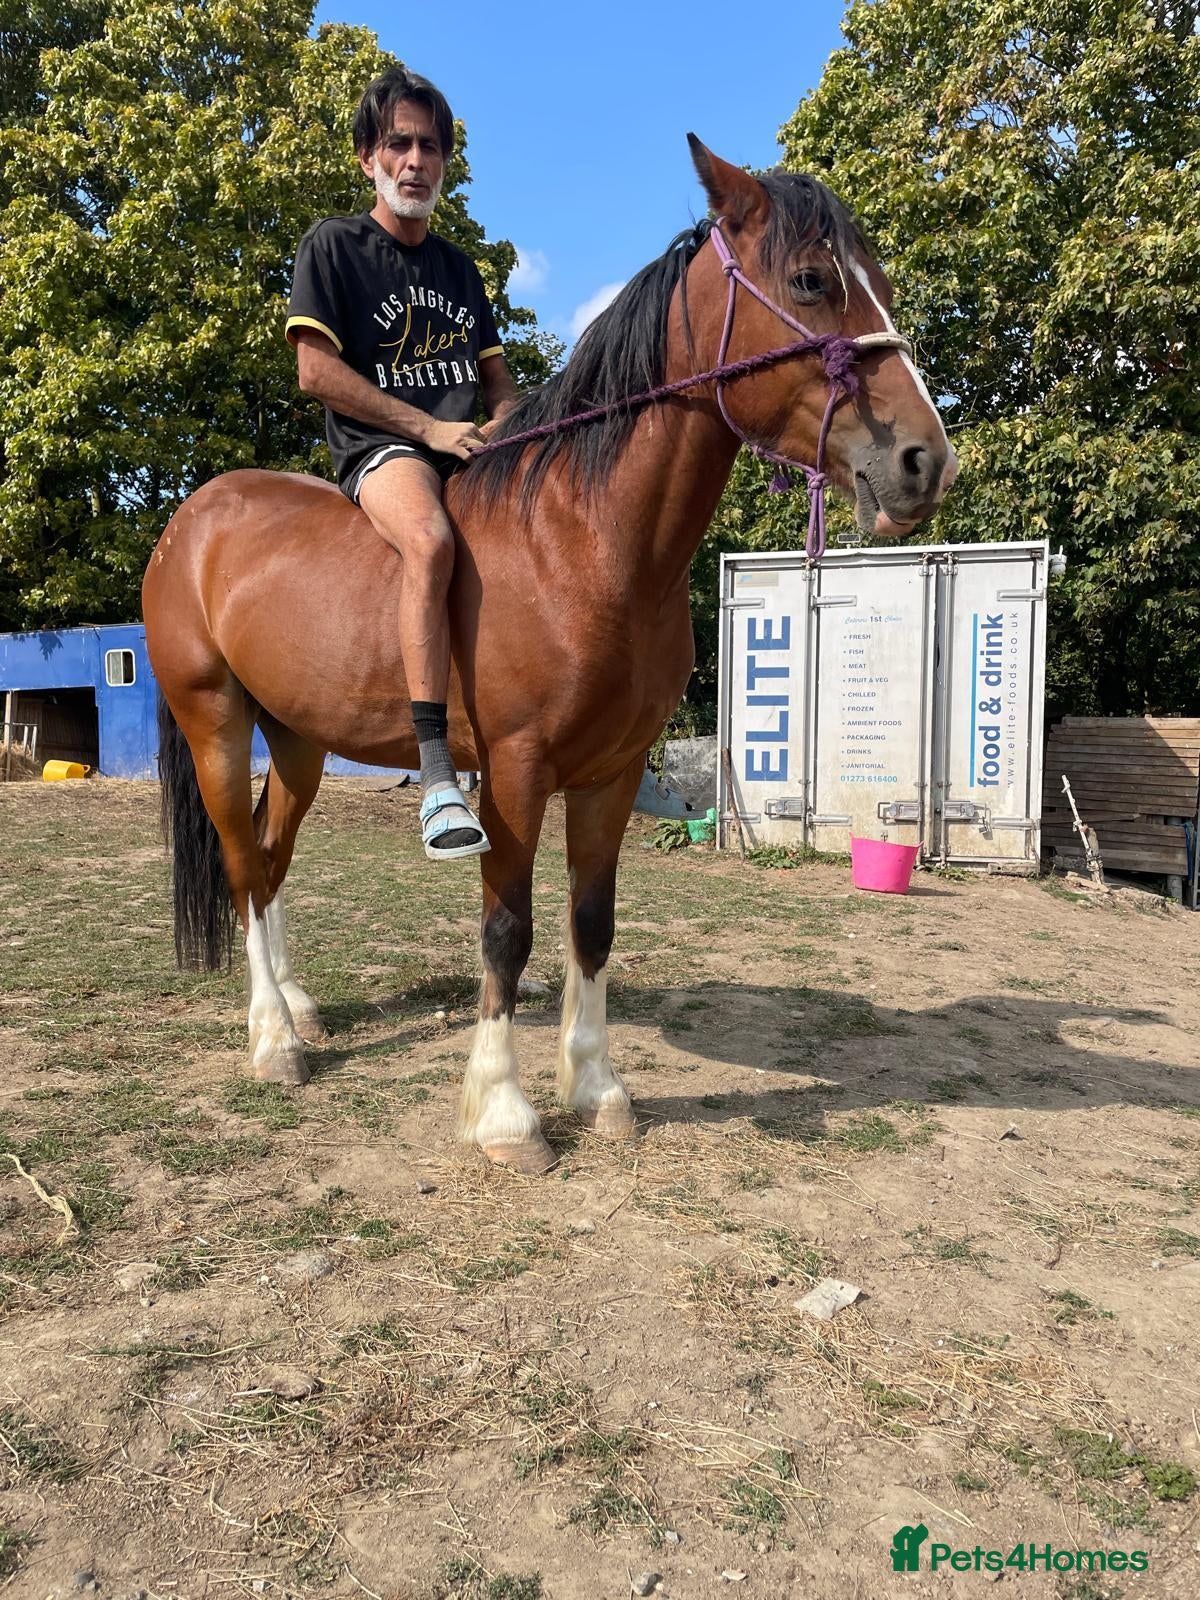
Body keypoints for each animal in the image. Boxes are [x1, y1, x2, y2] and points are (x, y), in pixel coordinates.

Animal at [142, 140, 955, 1175]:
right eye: (811, 280)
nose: (925, 462)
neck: (585, 538)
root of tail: (190, 522)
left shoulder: (609, 774)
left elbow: (591, 925)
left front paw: (599, 1089)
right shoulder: (518, 773)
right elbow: (508, 931)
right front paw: (504, 1112)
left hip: (295, 741)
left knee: (273, 859)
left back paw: (295, 1006)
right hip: (215, 722)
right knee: (246, 866)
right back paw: (273, 1040)